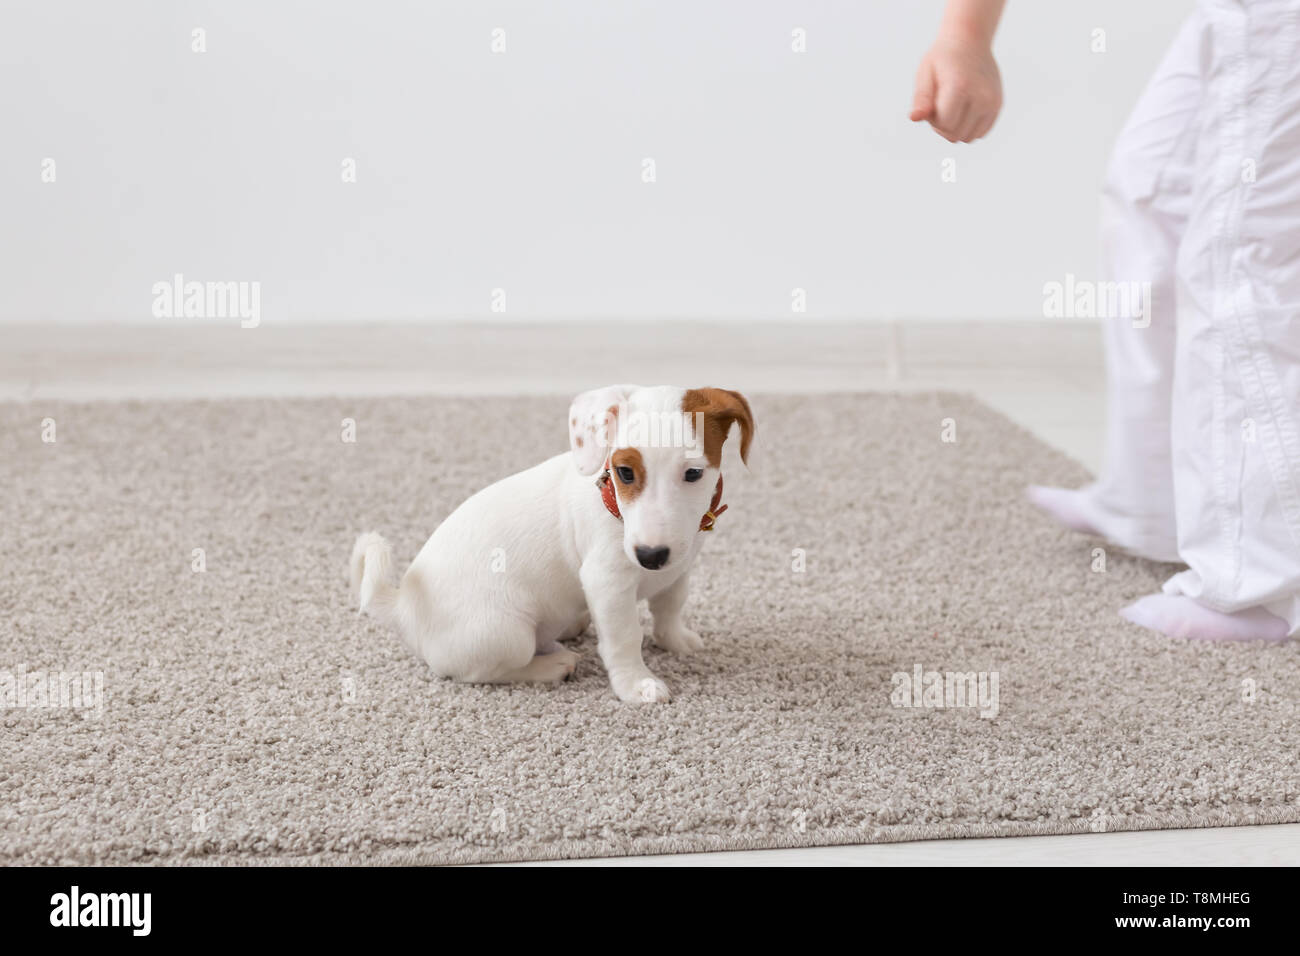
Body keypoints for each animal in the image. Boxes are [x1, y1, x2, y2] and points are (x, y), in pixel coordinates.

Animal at [348, 385, 754, 707]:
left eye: (694, 473)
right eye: (624, 472)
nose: (650, 557)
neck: (613, 507)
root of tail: (402, 606)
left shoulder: (679, 566)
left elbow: (669, 607)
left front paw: (675, 641)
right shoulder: (607, 583)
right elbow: (625, 638)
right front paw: (637, 684)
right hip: (507, 634)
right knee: (485, 671)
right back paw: (553, 664)